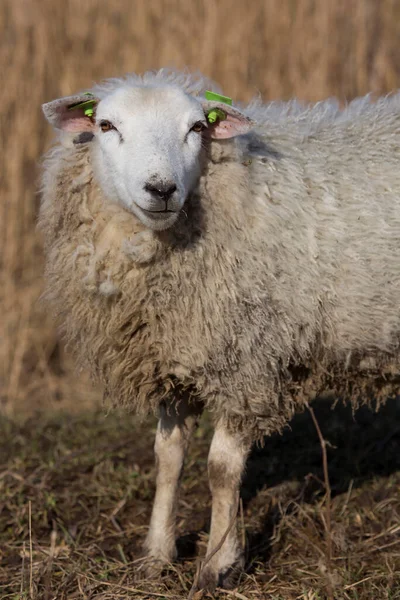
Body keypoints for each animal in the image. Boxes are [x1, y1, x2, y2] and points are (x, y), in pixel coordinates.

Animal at [39, 69, 400, 592]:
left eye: (196, 127)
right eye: (106, 125)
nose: (161, 189)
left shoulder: (248, 359)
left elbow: (221, 470)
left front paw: (218, 563)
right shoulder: (172, 354)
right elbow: (167, 458)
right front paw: (156, 555)